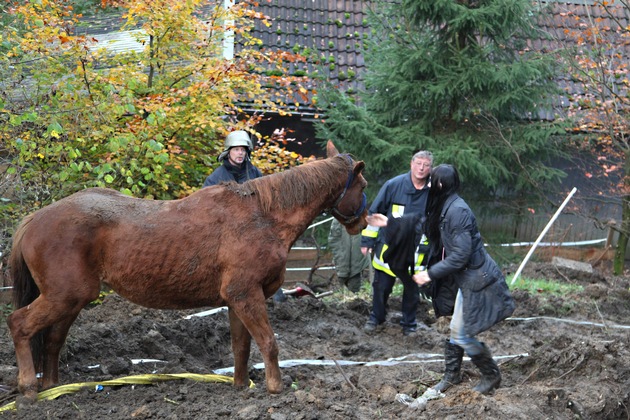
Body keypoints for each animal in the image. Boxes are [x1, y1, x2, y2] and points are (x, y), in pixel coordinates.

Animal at [7, 140, 368, 400]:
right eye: (363, 186)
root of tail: (34, 219)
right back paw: (29, 387)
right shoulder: (246, 294)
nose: (363, 223)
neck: (262, 215)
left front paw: (240, 387)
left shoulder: (237, 300)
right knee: (19, 324)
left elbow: (241, 347)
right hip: (65, 296)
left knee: (53, 340)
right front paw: (276, 388)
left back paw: (53, 387)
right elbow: (268, 342)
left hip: (70, 299)